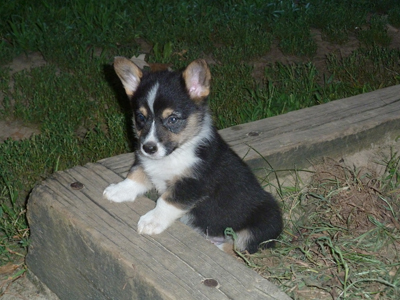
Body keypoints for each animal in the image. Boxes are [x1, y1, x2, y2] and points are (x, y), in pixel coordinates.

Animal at [104, 56, 282, 253]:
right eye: (141, 118)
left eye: (172, 119)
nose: (148, 148)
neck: (175, 154)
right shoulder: (145, 162)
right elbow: (136, 174)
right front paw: (118, 190)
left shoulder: (192, 184)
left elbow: (166, 201)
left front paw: (151, 221)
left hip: (261, 222)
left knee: (237, 248)